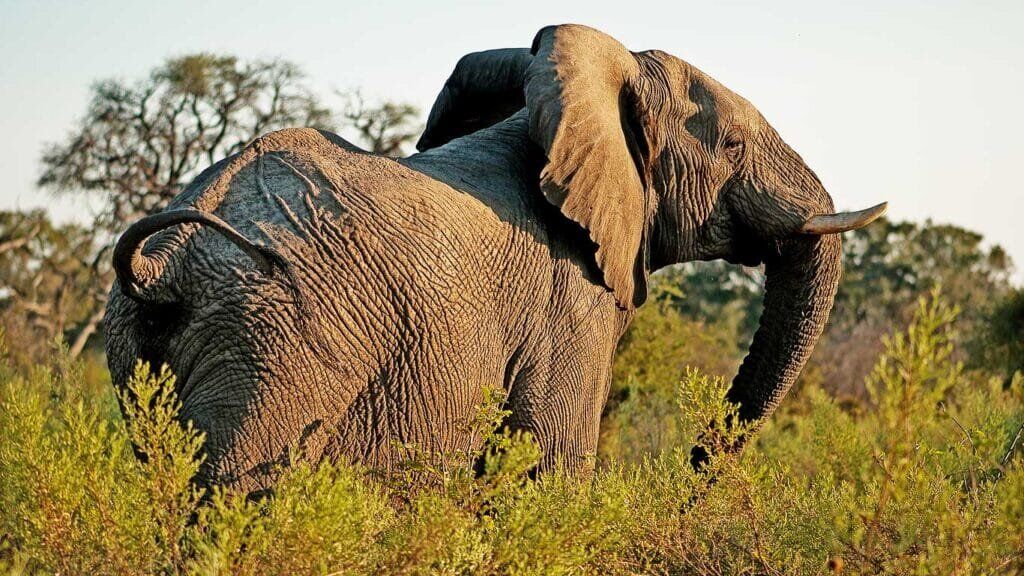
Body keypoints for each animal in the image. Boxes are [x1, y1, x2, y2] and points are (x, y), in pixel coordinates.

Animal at [105, 24, 887, 493]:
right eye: (730, 145)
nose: (693, 469)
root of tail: (162, 267)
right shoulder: (569, 296)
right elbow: (553, 464)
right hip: (273, 348)